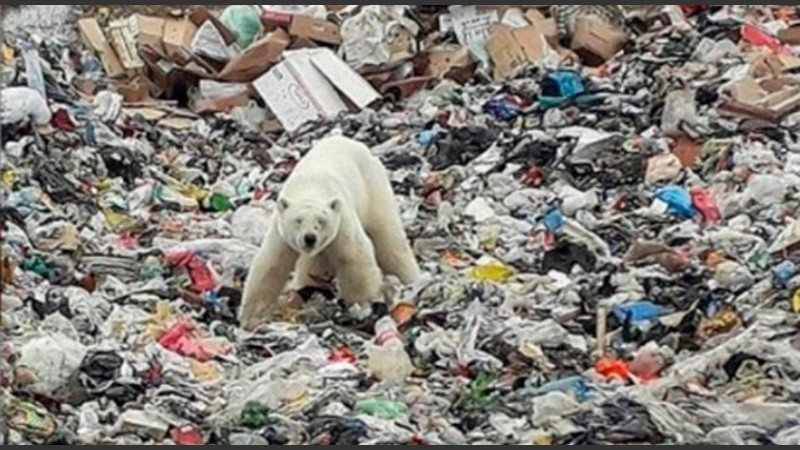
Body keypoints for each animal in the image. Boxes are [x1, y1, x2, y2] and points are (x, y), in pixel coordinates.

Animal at [238, 135, 421, 331]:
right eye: (298, 221)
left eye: (321, 221)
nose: (310, 238)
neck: (311, 186)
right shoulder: (280, 231)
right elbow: (271, 264)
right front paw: (251, 317)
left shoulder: (341, 219)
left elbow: (354, 256)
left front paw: (363, 305)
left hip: (373, 186)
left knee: (388, 238)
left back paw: (411, 280)